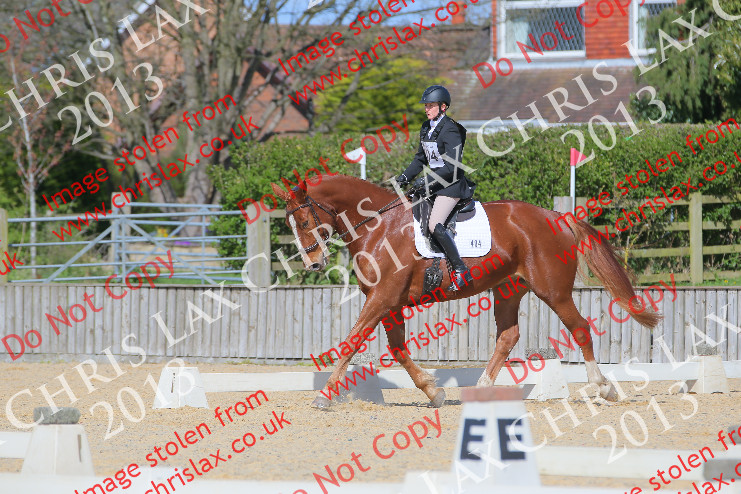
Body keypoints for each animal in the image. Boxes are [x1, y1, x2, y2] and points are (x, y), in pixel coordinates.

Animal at [270, 174, 661, 409]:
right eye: (291, 222)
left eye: (303, 220)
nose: (313, 264)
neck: (378, 227)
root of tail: (557, 217)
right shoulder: (388, 302)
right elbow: (397, 348)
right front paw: (434, 391)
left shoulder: (382, 298)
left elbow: (352, 340)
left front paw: (324, 395)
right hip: (508, 289)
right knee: (508, 335)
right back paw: (482, 388)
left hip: (553, 291)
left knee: (578, 328)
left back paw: (603, 387)